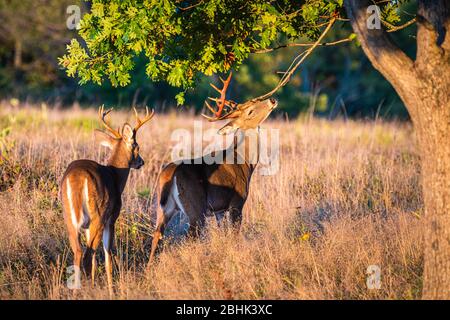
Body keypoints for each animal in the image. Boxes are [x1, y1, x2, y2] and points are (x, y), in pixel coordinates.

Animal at [60, 106, 154, 296]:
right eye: (137, 146)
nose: (141, 162)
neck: (116, 175)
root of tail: (77, 178)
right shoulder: (112, 218)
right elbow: (107, 252)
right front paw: (111, 291)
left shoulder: (87, 226)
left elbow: (96, 256)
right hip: (99, 214)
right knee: (87, 254)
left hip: (70, 218)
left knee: (79, 252)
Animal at [149, 74, 278, 264]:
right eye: (250, 111)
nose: (272, 100)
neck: (245, 163)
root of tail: (169, 174)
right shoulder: (236, 203)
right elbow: (234, 236)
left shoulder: (219, 210)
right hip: (196, 207)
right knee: (190, 237)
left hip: (163, 208)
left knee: (157, 237)